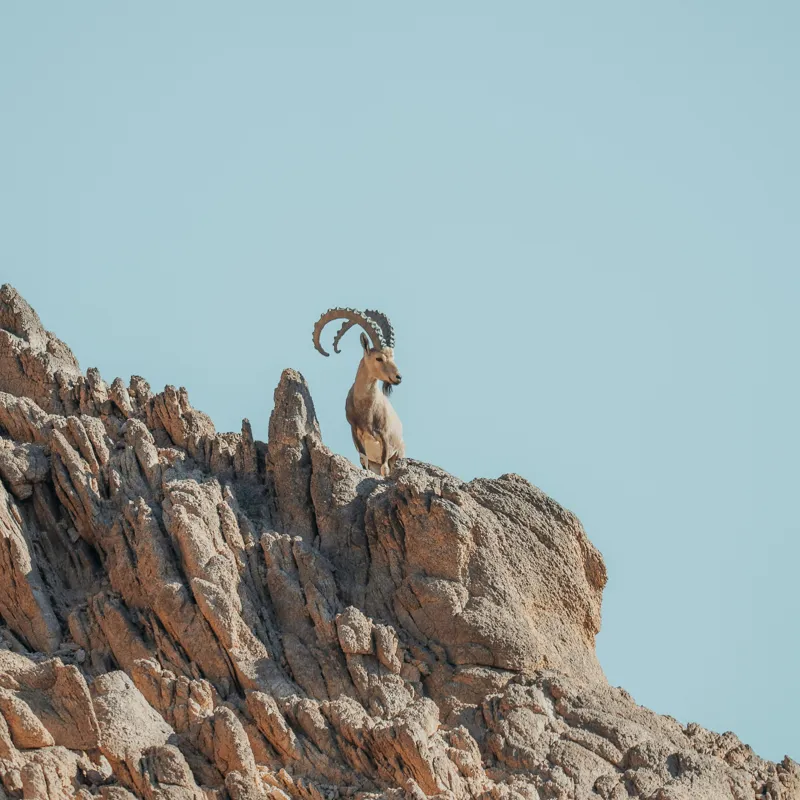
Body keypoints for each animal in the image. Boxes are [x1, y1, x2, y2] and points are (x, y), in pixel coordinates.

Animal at [313, 308, 405, 477]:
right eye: (379, 358)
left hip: (399, 454)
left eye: (392, 356)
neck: (366, 409)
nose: (398, 377)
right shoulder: (355, 432)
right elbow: (364, 460)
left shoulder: (384, 437)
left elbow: (385, 468)